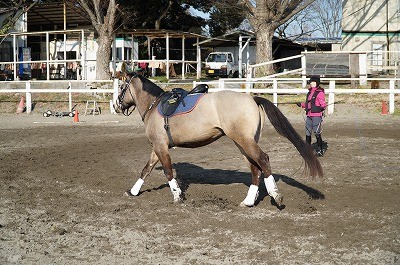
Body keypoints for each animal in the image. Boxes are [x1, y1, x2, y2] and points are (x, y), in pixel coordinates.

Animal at [114, 71, 324, 206]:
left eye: (122, 87)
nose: (117, 105)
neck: (154, 106)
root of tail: (252, 98)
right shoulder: (157, 147)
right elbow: (146, 169)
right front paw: (133, 191)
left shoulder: (161, 146)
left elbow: (167, 172)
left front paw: (177, 197)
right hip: (243, 143)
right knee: (255, 168)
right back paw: (249, 201)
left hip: (244, 141)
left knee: (263, 160)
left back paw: (275, 195)